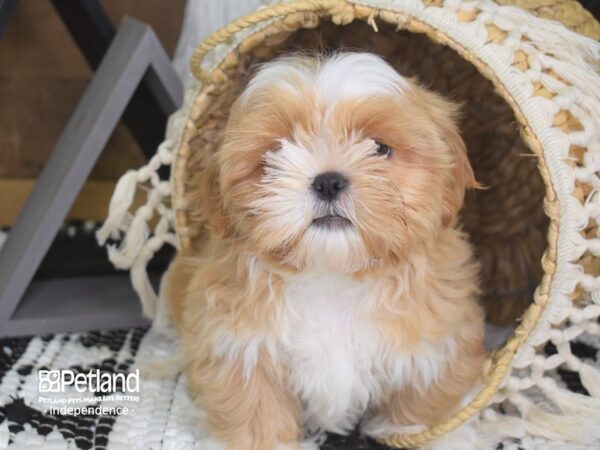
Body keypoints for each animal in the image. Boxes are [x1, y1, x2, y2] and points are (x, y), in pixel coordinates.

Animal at [162, 53, 486, 450]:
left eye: (379, 148)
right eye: (277, 151)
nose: (328, 181)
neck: (331, 274)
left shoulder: (437, 341)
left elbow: (424, 404)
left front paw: (427, 434)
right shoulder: (238, 346)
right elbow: (254, 413)